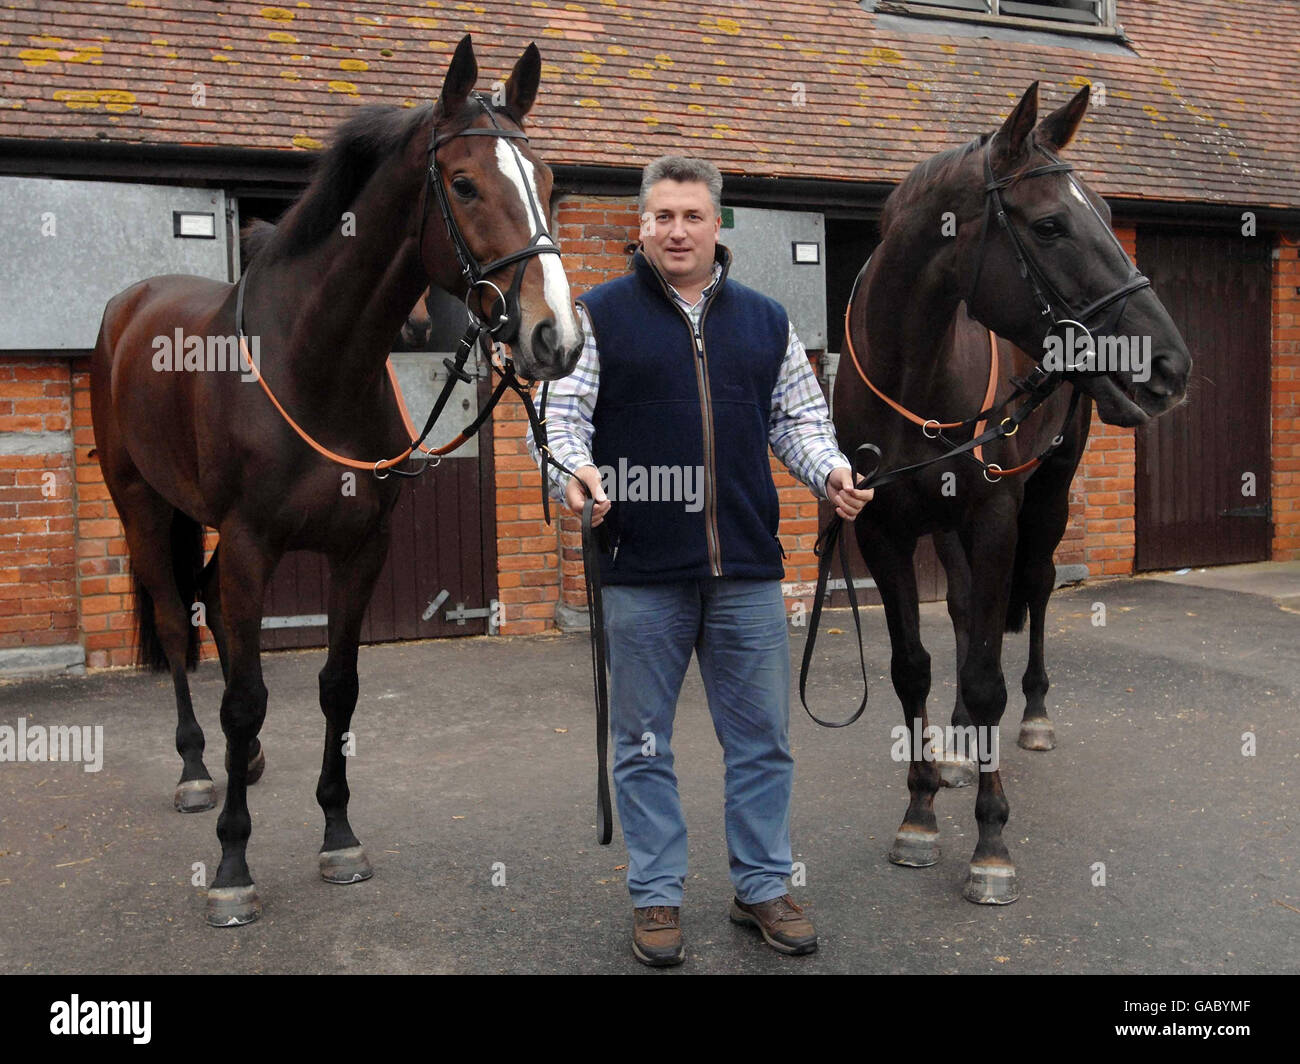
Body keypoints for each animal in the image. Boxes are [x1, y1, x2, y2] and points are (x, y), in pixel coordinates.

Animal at [91, 35, 579, 920]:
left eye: (551, 181)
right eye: (464, 183)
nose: (554, 338)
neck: (312, 363)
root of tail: (132, 303)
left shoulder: (360, 550)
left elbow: (338, 687)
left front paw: (339, 837)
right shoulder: (255, 546)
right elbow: (248, 695)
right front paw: (233, 868)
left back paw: (243, 760)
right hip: (140, 505)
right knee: (181, 625)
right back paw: (197, 770)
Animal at [832, 82, 1190, 900]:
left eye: (1106, 211)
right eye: (1051, 225)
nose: (1170, 364)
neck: (915, 370)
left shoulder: (995, 513)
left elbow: (991, 669)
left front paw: (991, 843)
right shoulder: (882, 529)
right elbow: (914, 665)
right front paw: (920, 813)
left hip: (1047, 495)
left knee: (1037, 590)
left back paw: (1031, 718)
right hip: (945, 523)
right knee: (968, 611)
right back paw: (964, 741)